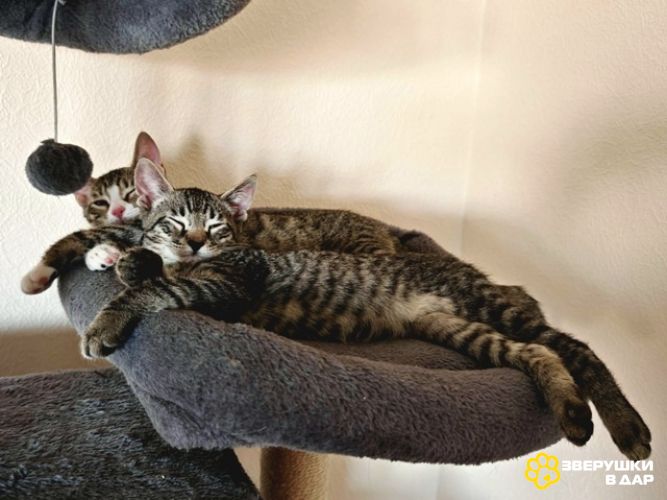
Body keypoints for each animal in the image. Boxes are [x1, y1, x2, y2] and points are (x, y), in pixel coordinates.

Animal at [22, 159, 651, 460]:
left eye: (218, 228)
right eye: (175, 223)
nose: (195, 243)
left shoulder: (231, 283)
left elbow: (158, 288)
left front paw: (106, 320)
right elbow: (143, 264)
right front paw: (125, 258)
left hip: (487, 305)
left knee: (572, 344)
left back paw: (627, 428)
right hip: (455, 327)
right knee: (538, 352)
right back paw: (572, 413)